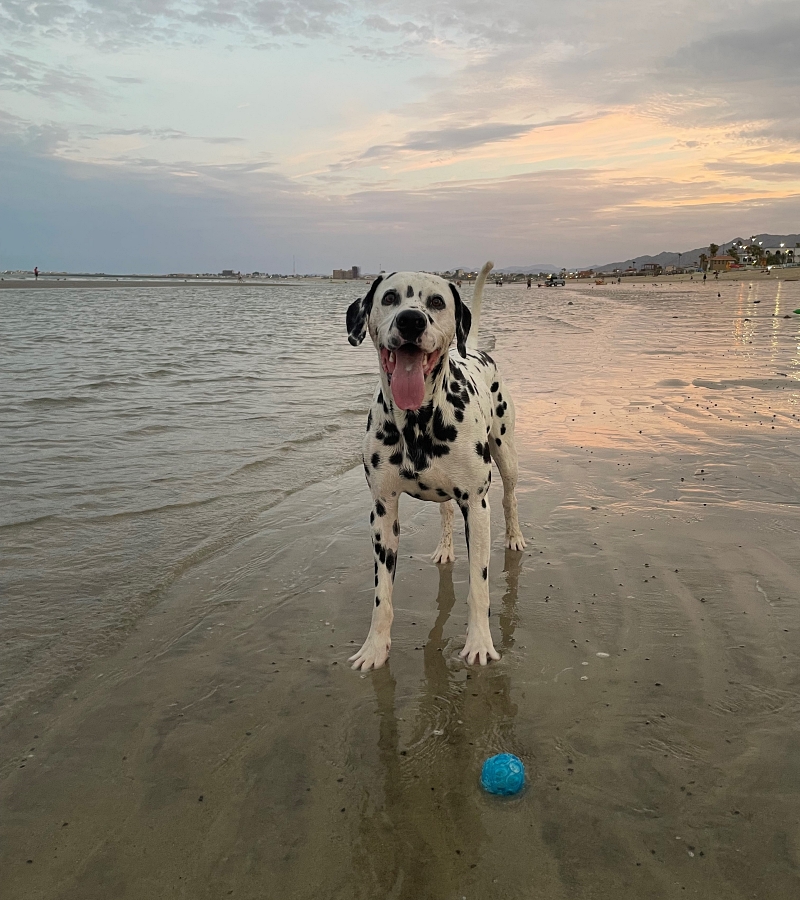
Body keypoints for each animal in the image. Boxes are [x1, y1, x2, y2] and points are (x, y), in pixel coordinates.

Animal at [346, 260, 524, 668]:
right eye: (390, 298)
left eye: (438, 302)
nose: (411, 320)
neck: (417, 422)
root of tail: (474, 351)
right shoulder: (383, 512)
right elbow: (382, 595)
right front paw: (375, 647)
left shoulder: (477, 506)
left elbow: (479, 586)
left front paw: (479, 643)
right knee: (445, 511)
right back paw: (445, 548)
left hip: (505, 453)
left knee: (510, 497)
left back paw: (514, 536)